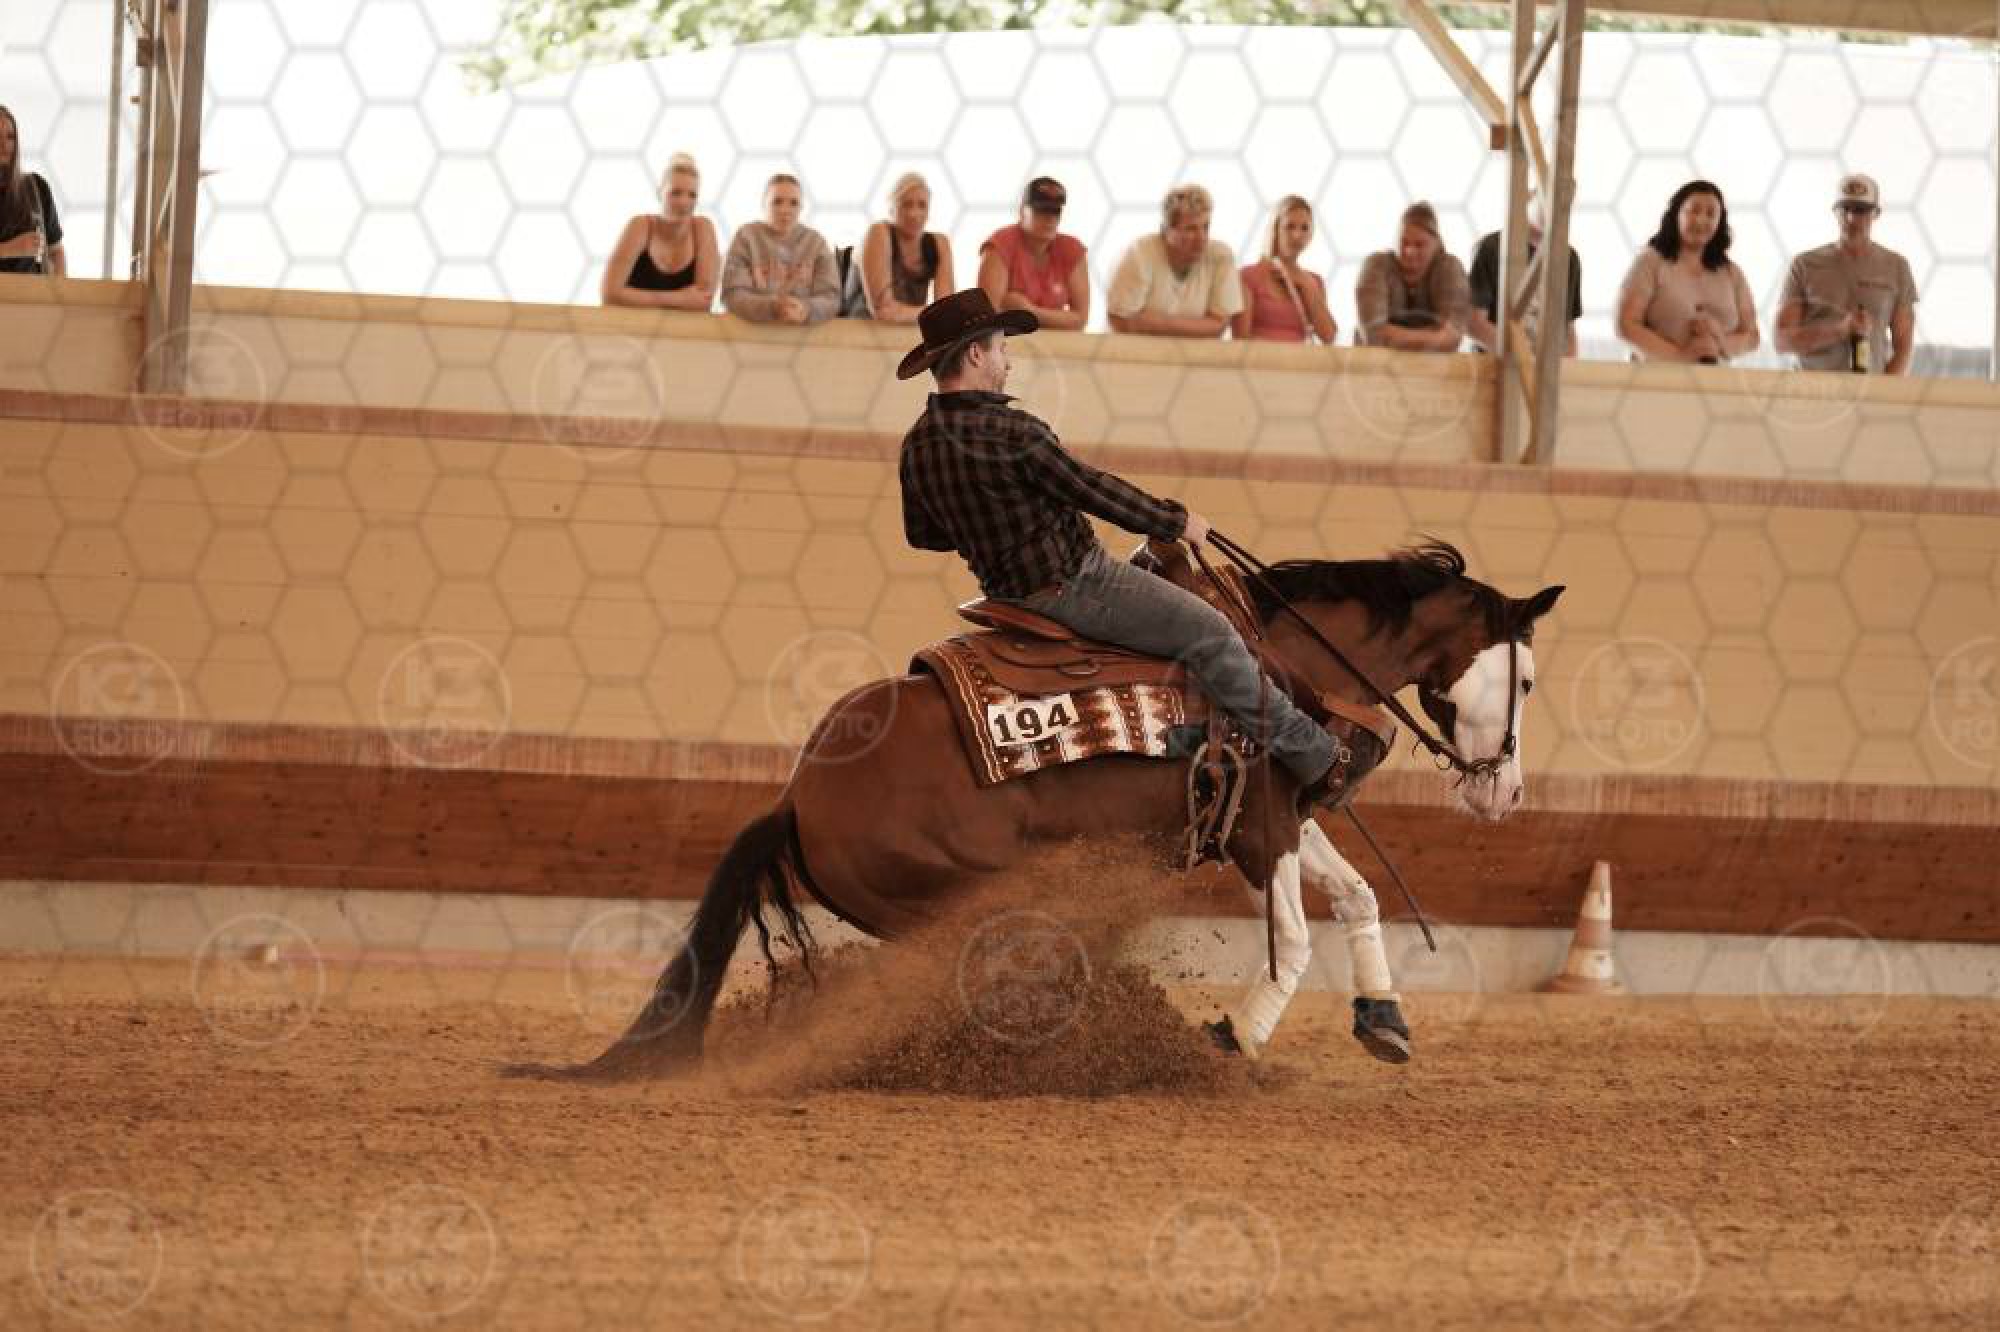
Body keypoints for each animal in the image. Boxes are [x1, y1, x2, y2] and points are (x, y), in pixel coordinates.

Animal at [511, 539, 1562, 1079]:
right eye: (1528, 679)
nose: (1506, 792)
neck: (1290, 662)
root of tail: (798, 799)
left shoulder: (1289, 822)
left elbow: (1357, 900)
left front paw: (1384, 1018)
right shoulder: (1261, 825)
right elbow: (1299, 939)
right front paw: (1234, 1037)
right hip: (971, 895)